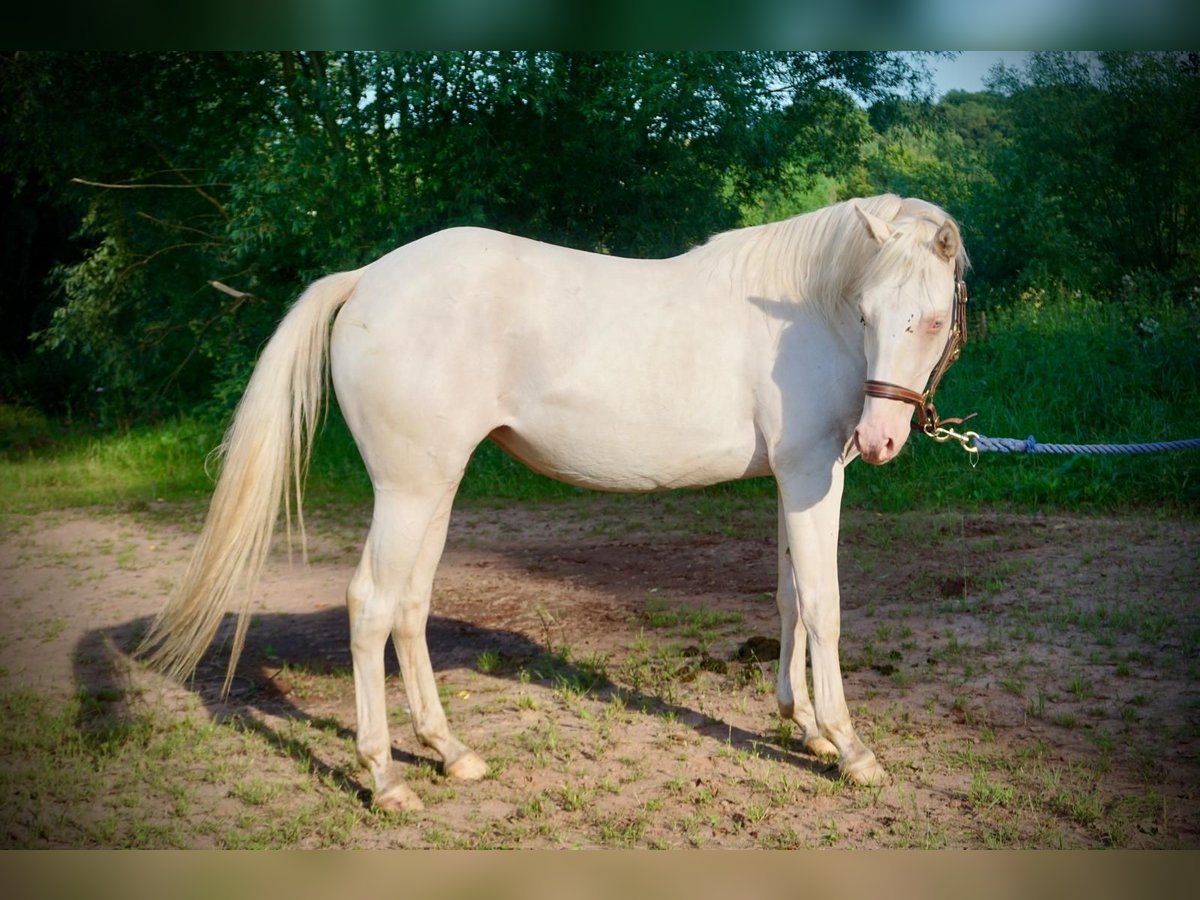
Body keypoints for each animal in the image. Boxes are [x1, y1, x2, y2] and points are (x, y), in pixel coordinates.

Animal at [138, 194, 964, 816]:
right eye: (866, 313)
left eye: (927, 319)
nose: (881, 438)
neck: (806, 314)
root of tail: (368, 277)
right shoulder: (811, 475)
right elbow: (823, 606)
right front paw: (850, 748)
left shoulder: (800, 479)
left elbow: (791, 599)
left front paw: (805, 726)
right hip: (408, 492)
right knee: (371, 604)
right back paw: (386, 778)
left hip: (433, 491)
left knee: (409, 605)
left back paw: (451, 753)